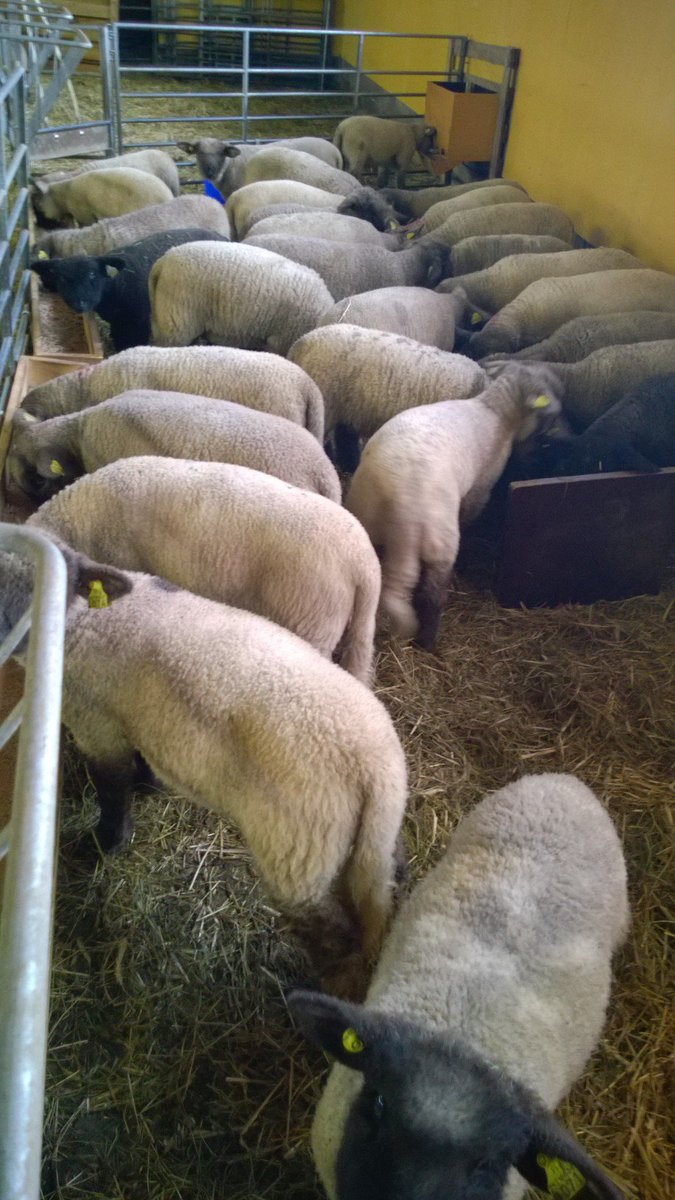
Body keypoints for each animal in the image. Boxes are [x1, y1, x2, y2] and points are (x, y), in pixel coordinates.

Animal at [0, 545, 408, 997]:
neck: (84, 619)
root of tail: (375, 769)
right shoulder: (132, 716)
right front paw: (148, 785)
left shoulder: (95, 721)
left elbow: (112, 788)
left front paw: (103, 843)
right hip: (372, 842)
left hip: (298, 858)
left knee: (331, 930)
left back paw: (318, 987)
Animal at [30, 227, 229, 352]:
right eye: (61, 278)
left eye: (93, 274)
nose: (80, 303)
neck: (115, 287)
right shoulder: (118, 322)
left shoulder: (139, 321)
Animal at [344, 366, 562, 649]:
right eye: (550, 413)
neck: (495, 409)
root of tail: (403, 509)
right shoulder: (480, 489)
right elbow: (469, 517)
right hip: (441, 541)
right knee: (433, 595)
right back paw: (427, 642)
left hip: (367, 519)